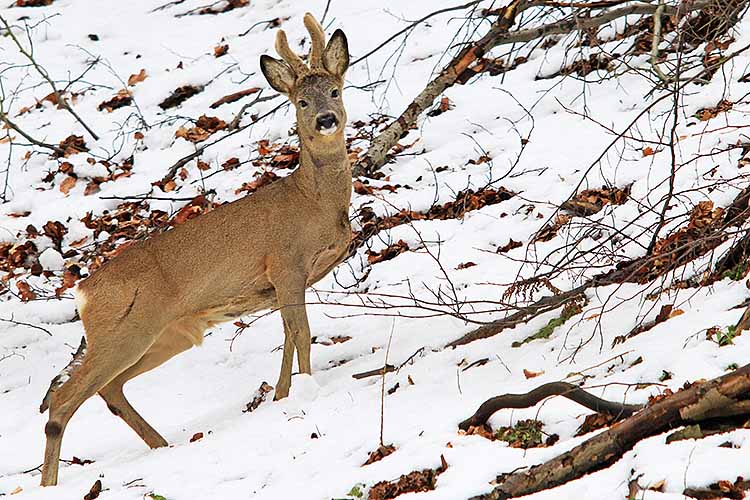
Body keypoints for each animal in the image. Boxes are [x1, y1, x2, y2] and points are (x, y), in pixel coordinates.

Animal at [41, 13, 356, 486]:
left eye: (335, 90)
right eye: (301, 101)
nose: (325, 119)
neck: (313, 201)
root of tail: (82, 293)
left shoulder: (283, 283)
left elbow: (288, 335)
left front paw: (282, 395)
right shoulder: (285, 264)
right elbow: (300, 333)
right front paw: (303, 390)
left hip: (167, 334)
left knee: (109, 388)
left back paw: (162, 445)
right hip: (124, 330)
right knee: (63, 398)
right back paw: (49, 482)